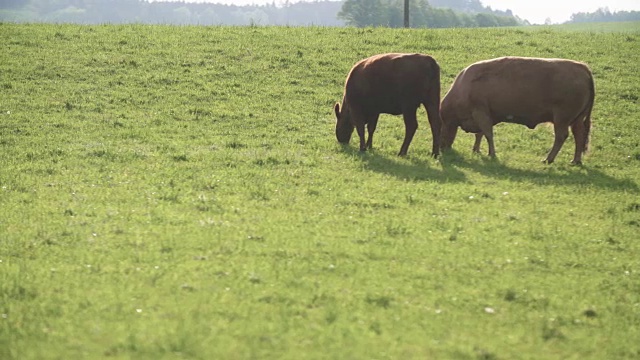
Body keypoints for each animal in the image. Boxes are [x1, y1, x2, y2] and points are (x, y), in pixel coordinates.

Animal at [440, 56, 596, 165]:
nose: (442, 147)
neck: (464, 87)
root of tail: (583, 68)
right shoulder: (484, 115)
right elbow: (480, 134)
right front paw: (477, 150)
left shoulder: (481, 113)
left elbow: (487, 134)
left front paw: (492, 154)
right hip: (576, 120)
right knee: (579, 135)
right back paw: (575, 161)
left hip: (561, 119)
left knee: (561, 136)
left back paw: (548, 159)